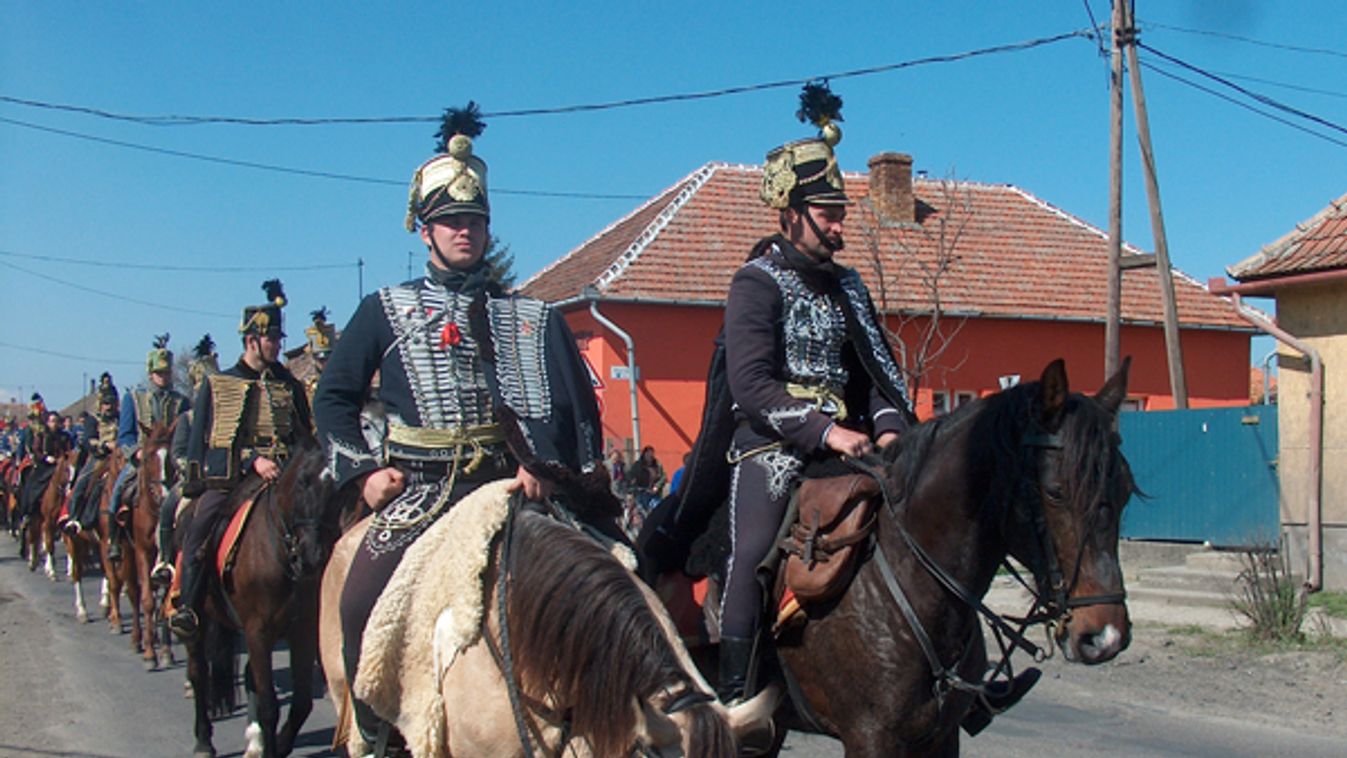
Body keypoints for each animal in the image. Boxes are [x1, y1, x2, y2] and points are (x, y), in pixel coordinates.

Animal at [183, 438, 342, 758]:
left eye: (336, 487)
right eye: (302, 481)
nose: (312, 557)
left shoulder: (302, 630)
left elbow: (301, 702)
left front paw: (278, 744)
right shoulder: (258, 630)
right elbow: (270, 704)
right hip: (198, 621)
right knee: (198, 673)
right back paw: (204, 740)